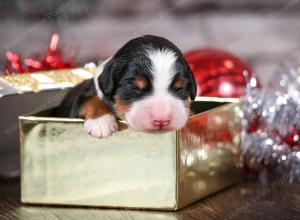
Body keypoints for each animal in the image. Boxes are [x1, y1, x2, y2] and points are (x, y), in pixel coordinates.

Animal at [54, 34, 197, 138]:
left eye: (179, 88)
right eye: (135, 87)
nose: (161, 120)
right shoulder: (82, 95)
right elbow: (91, 100)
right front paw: (100, 122)